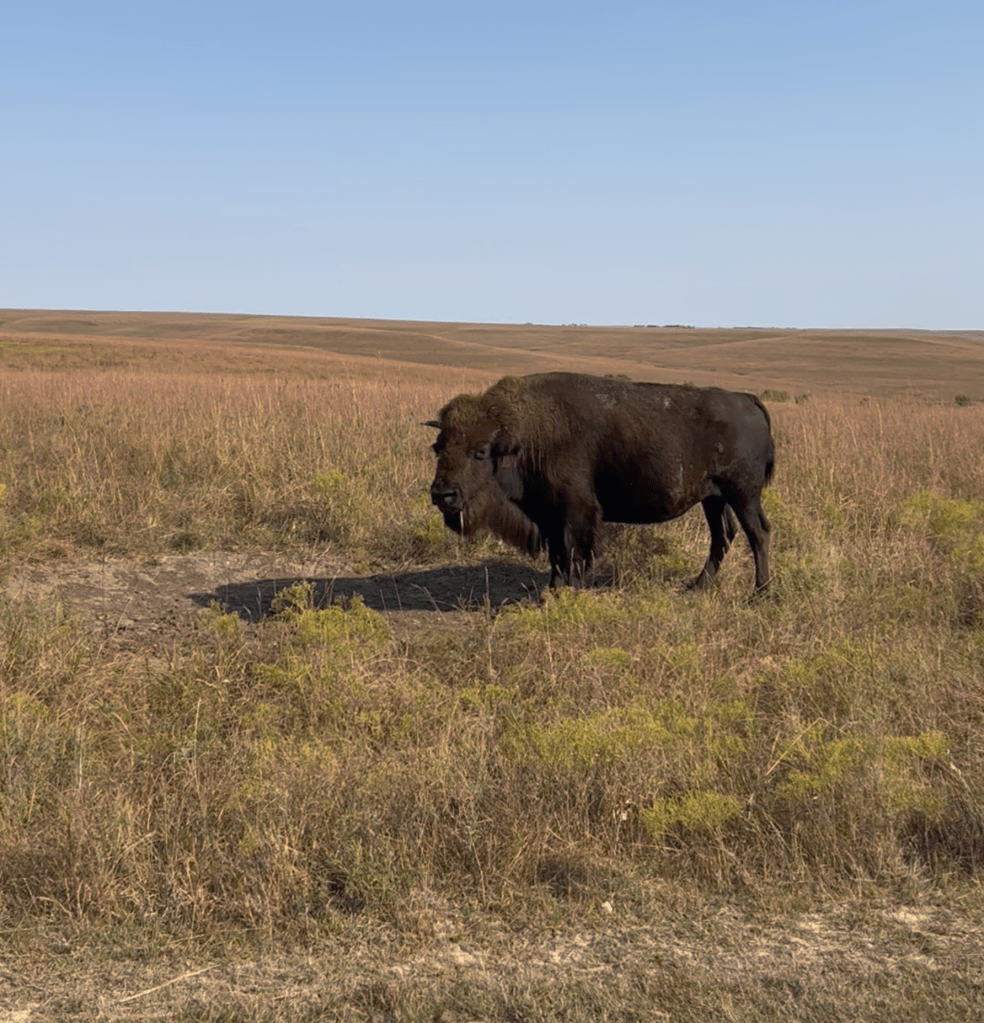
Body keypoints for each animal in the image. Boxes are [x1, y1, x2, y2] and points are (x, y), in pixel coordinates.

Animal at [426, 372, 774, 593]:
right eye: (438, 447)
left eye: (481, 451)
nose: (443, 494)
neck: (523, 432)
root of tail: (746, 399)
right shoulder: (549, 516)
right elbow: (557, 558)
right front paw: (551, 592)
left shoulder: (575, 512)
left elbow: (573, 555)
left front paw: (567, 593)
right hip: (714, 498)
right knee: (722, 537)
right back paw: (696, 587)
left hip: (743, 495)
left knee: (757, 534)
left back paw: (759, 593)